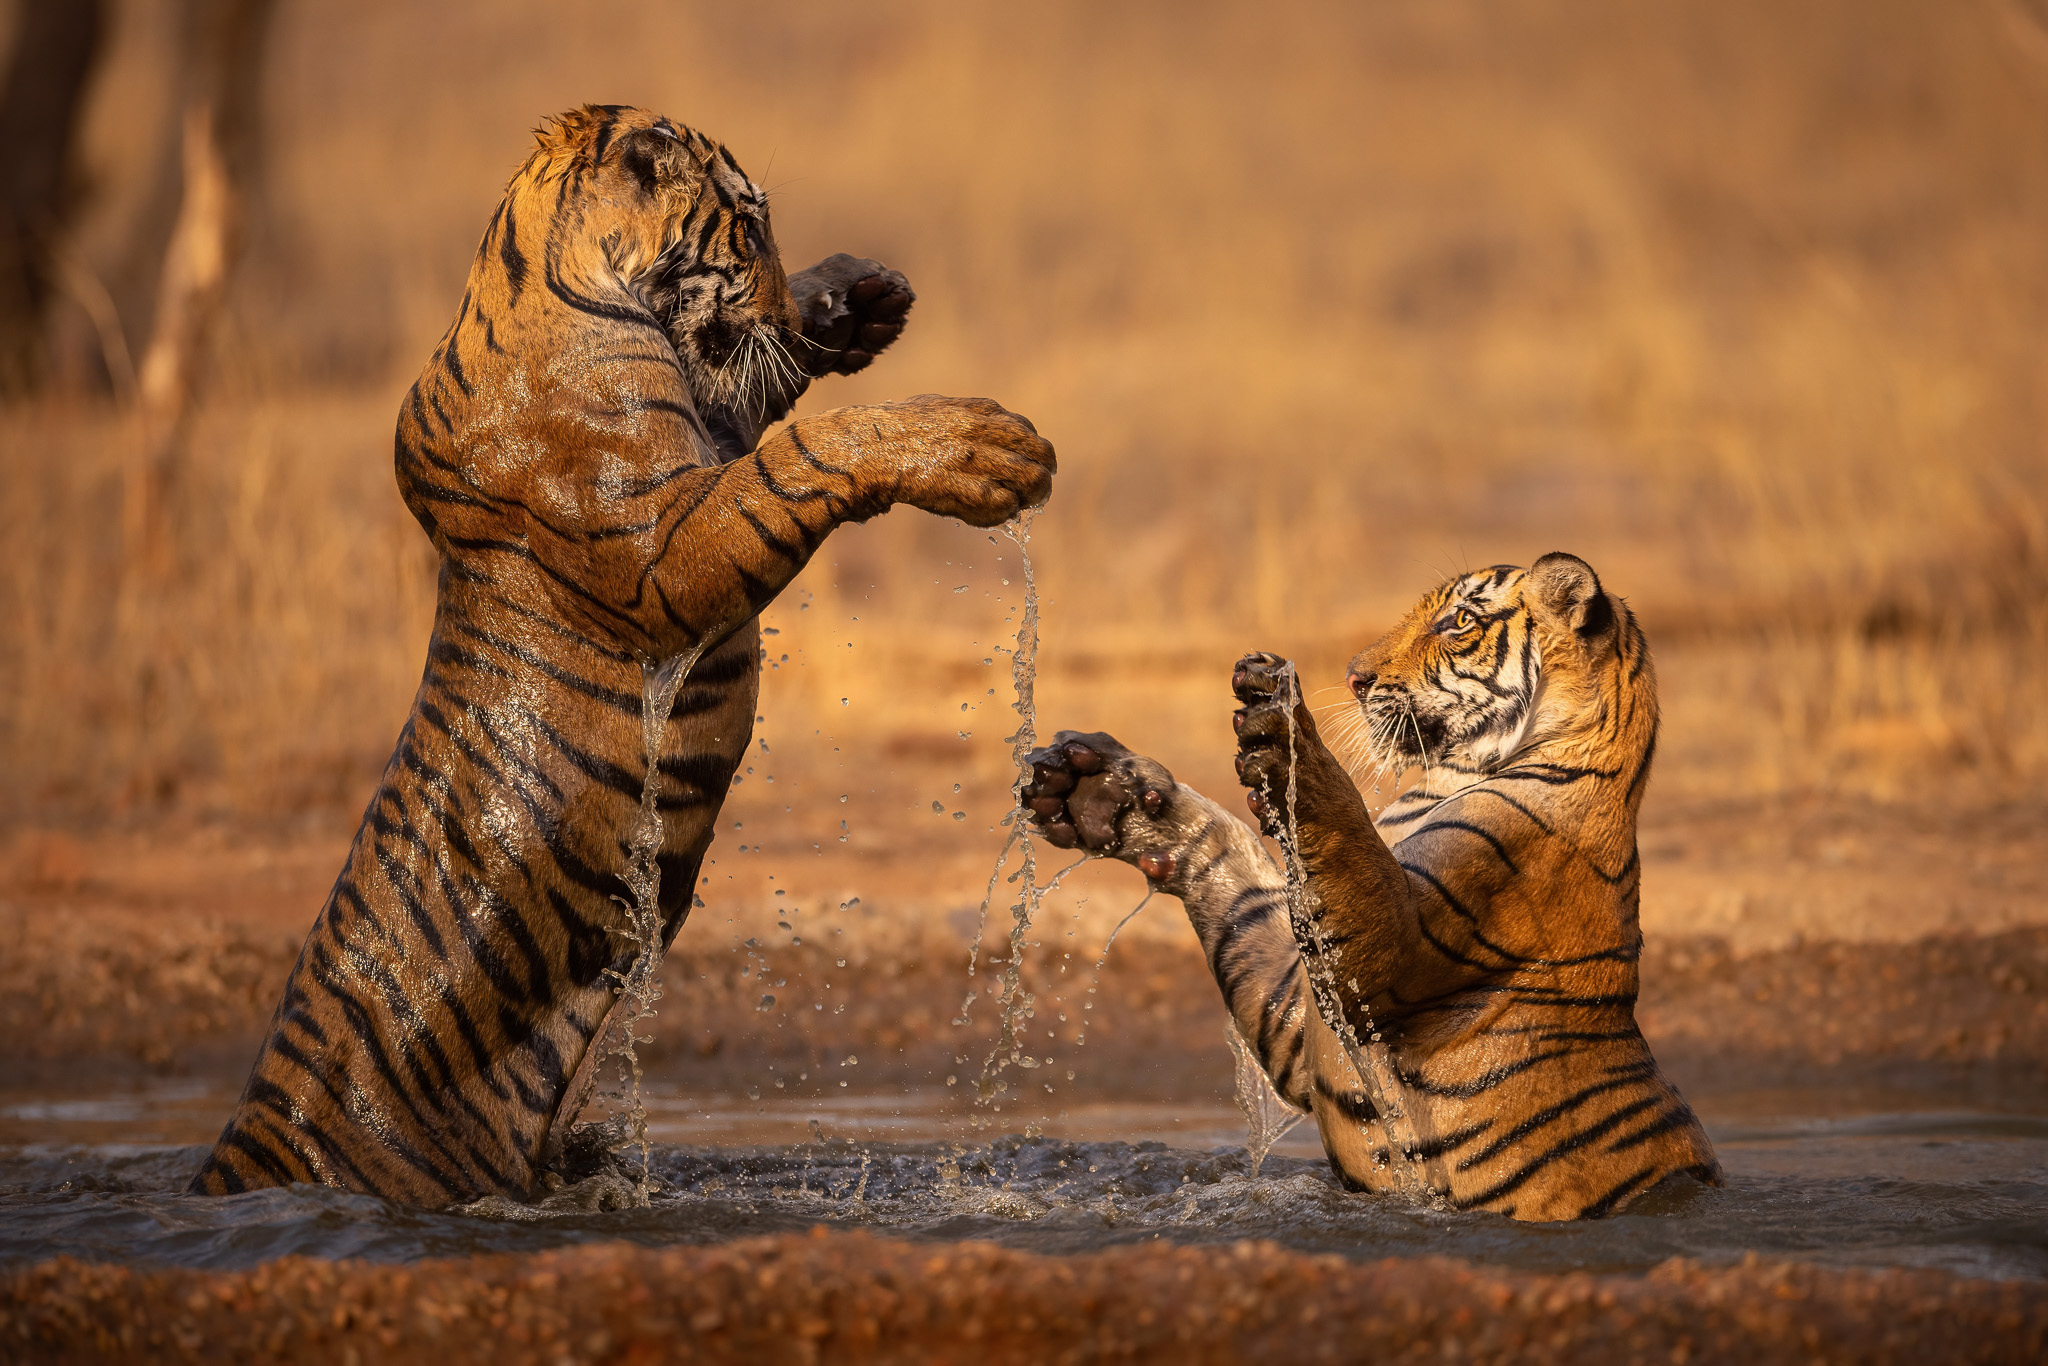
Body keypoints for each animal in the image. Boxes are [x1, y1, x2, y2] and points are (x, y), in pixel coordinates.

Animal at [189, 104, 1054, 1206]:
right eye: (747, 228)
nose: (800, 298)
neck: (535, 277)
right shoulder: (663, 550)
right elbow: (801, 453)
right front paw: (980, 447)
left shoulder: (706, 433)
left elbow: (763, 392)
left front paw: (857, 296)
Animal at [1021, 555, 1719, 1221]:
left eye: (1458, 622)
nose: (1355, 678)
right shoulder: (1297, 1012)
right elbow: (1237, 881)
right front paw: (1100, 790)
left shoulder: (1387, 954)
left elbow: (1339, 827)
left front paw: (1282, 730)